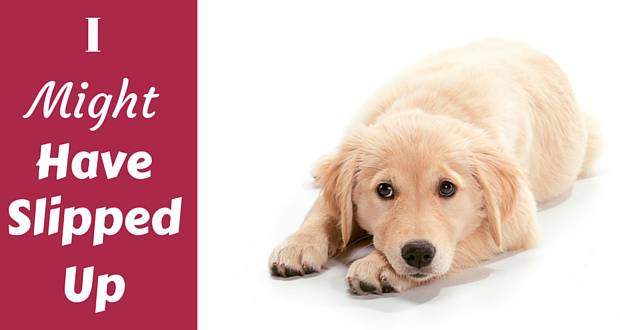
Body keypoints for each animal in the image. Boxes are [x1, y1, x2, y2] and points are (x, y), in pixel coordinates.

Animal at [268, 38, 600, 294]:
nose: (417, 253)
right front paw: (298, 245)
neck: (432, 106)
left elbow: (469, 238)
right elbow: (325, 211)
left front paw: (378, 265)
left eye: (447, 188)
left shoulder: (516, 220)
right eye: (384, 190)